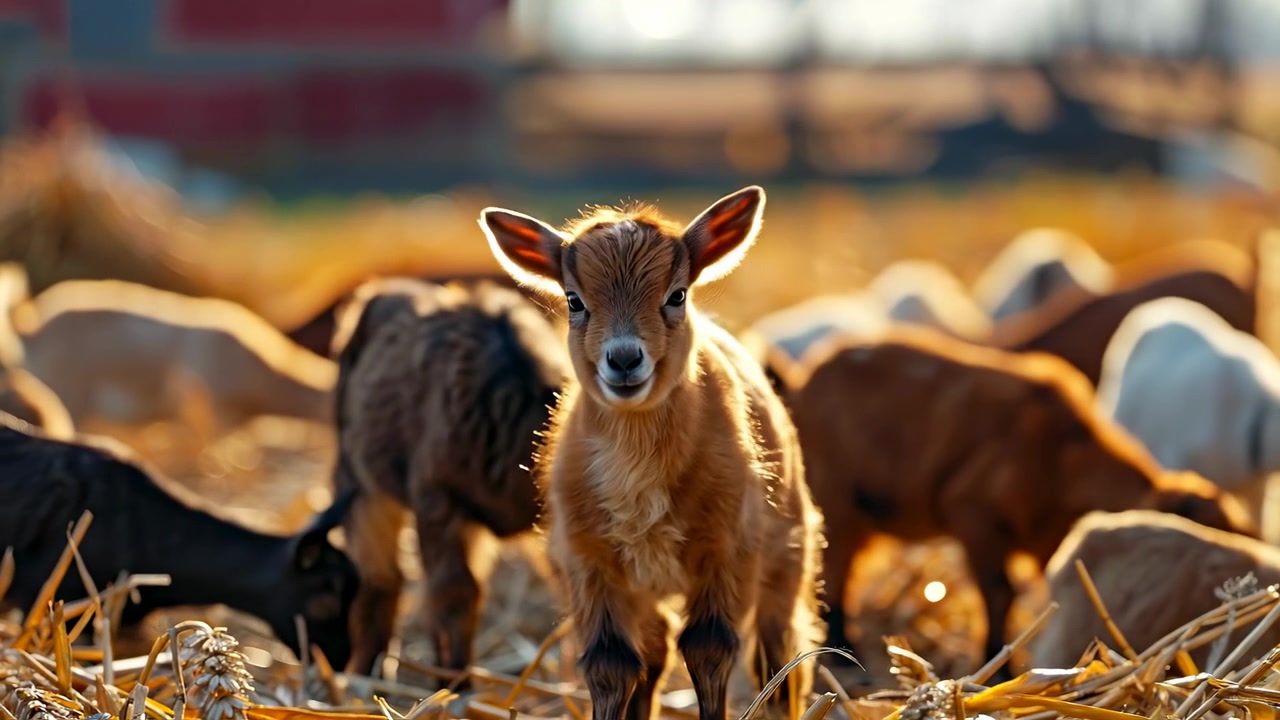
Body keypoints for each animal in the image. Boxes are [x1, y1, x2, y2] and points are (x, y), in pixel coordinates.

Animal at [330, 276, 569, 682]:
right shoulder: (437, 499)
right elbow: (454, 593)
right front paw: (457, 683)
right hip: (358, 480)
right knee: (380, 580)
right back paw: (366, 672)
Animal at [480, 186, 825, 720]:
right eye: (574, 300)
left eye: (677, 295)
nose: (624, 359)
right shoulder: (588, 559)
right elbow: (611, 663)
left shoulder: (726, 546)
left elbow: (710, 648)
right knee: (654, 650)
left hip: (788, 550)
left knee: (779, 655)